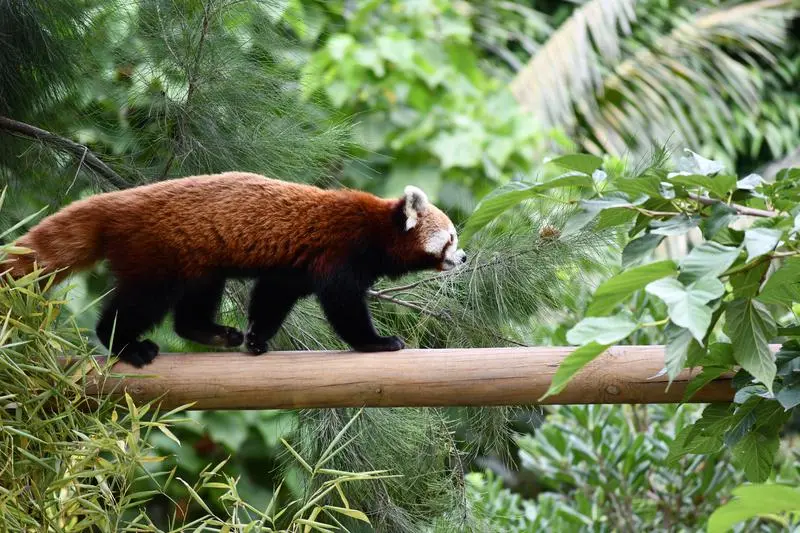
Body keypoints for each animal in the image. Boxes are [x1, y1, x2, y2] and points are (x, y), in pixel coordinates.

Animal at [3, 172, 466, 368]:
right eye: (451, 237)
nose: (463, 259)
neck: (376, 228)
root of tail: (120, 202)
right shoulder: (339, 253)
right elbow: (343, 305)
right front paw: (377, 342)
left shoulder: (293, 266)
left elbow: (273, 295)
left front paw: (258, 337)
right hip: (158, 254)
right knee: (140, 303)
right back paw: (126, 345)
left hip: (199, 261)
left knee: (193, 304)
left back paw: (213, 333)